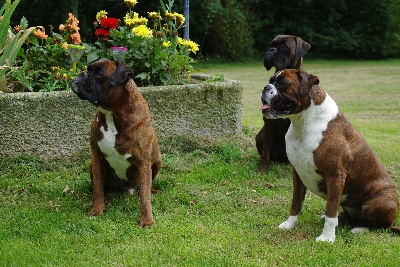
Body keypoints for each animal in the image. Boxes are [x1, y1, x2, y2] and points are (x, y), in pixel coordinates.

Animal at [72, 59, 161, 227]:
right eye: (89, 69)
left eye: (99, 73)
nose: (82, 73)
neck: (112, 113)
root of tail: (127, 190)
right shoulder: (97, 157)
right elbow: (98, 188)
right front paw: (97, 210)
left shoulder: (144, 162)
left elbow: (145, 196)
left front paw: (146, 220)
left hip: (158, 161)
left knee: (144, 189)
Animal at [255, 35, 310, 174]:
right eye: (270, 45)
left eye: (284, 47)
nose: (271, 50)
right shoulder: (269, 124)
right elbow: (266, 150)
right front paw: (263, 168)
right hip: (259, 136)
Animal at [260, 68, 398, 243]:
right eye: (271, 80)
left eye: (282, 84)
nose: (265, 87)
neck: (303, 123)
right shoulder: (297, 173)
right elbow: (296, 203)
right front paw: (289, 225)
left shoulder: (335, 176)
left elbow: (331, 210)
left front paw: (327, 237)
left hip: (377, 203)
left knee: (380, 226)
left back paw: (360, 229)